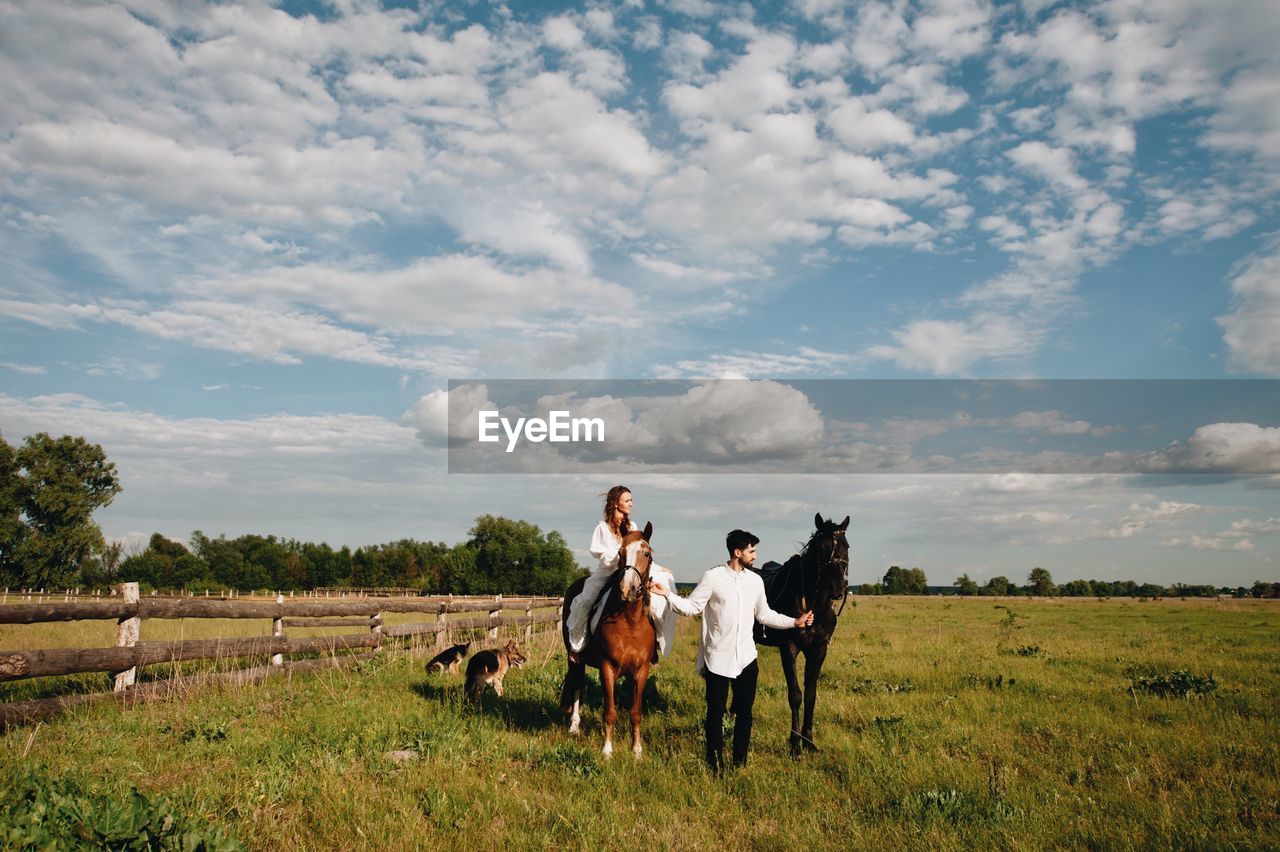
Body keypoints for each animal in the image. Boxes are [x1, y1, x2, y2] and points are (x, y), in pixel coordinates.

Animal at [558, 516, 655, 757]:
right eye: (620, 553)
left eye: (646, 553)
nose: (627, 589)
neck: (630, 621)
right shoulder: (607, 667)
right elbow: (609, 711)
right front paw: (607, 750)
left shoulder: (641, 671)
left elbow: (635, 712)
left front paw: (636, 751)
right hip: (575, 660)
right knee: (577, 685)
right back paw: (574, 726)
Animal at [757, 511, 849, 752]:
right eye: (821, 547)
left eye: (846, 546)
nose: (838, 588)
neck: (813, 606)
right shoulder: (788, 649)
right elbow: (796, 696)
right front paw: (795, 744)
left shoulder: (818, 650)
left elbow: (810, 695)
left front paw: (809, 741)